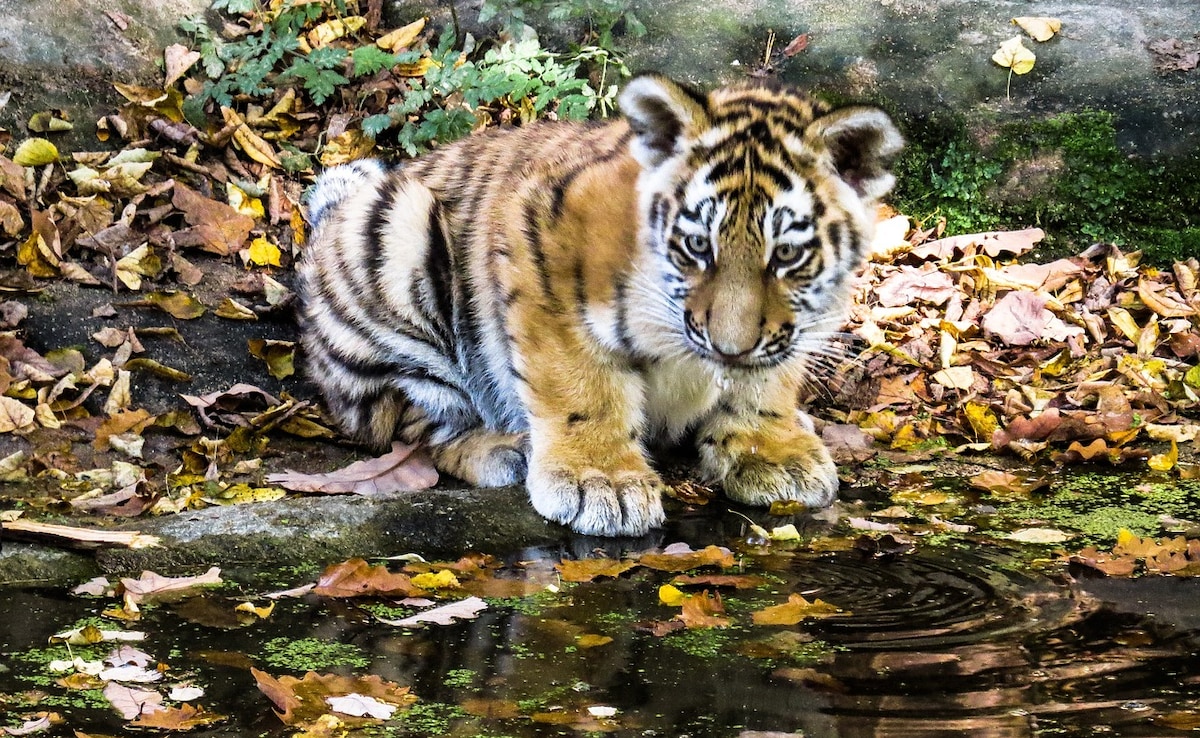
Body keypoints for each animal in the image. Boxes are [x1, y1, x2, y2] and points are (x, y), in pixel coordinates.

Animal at [298, 72, 902, 537]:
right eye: (697, 246)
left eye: (786, 254)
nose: (730, 348)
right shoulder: (539, 248)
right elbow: (580, 384)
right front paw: (601, 483)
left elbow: (765, 380)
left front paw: (772, 452)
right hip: (397, 233)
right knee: (410, 422)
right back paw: (505, 449)